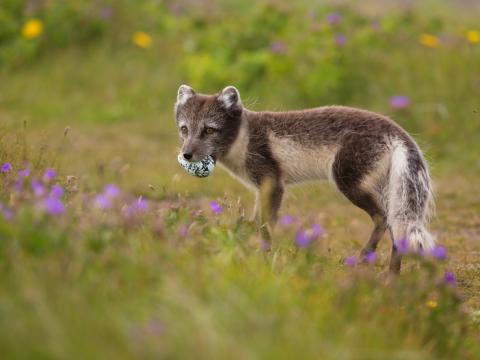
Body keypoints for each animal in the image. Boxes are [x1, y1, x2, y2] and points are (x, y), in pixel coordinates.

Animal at [175, 84, 436, 270]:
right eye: (184, 129)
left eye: (209, 129)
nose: (186, 155)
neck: (244, 137)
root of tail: (398, 132)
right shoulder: (261, 188)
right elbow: (255, 220)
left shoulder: (272, 181)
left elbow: (265, 224)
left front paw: (263, 257)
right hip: (386, 190)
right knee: (397, 230)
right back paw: (391, 277)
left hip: (348, 179)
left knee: (383, 218)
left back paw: (363, 257)